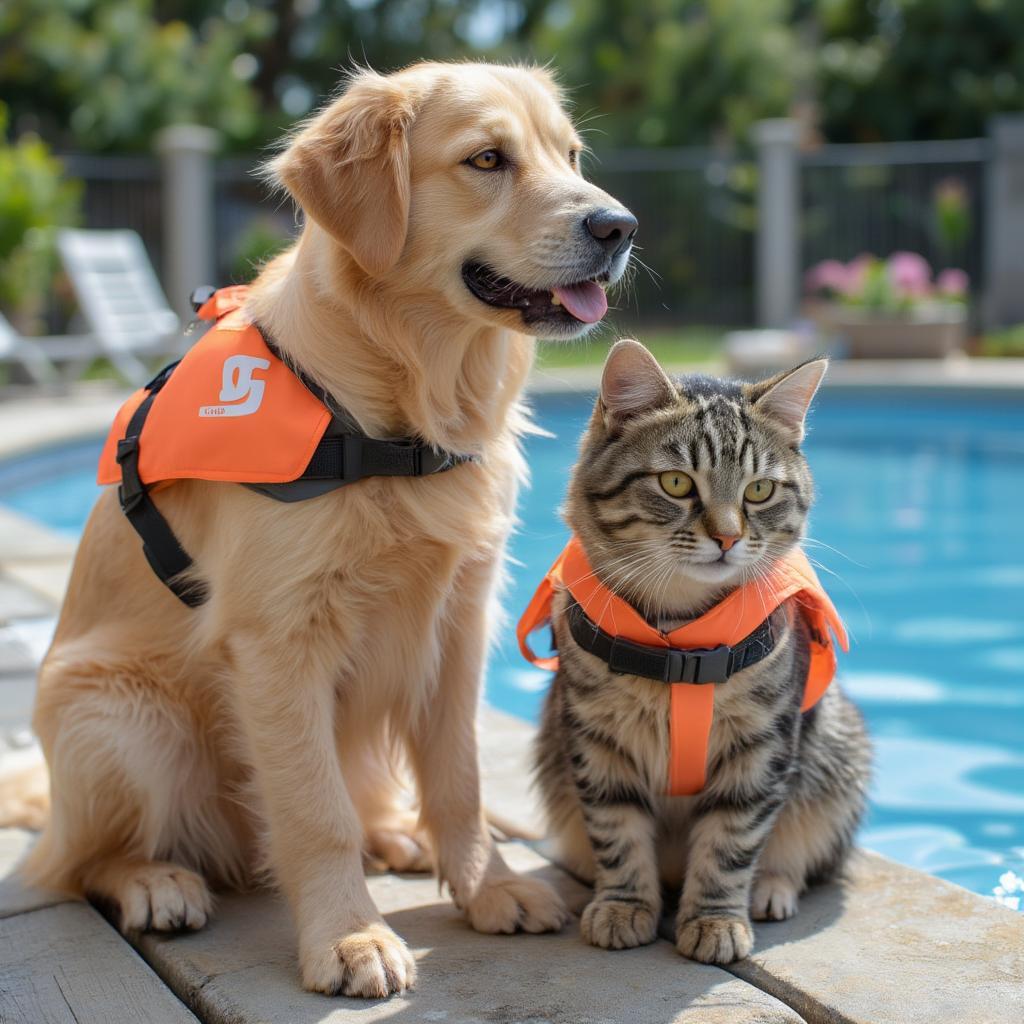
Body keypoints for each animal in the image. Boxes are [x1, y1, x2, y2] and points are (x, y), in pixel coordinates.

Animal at [19, 59, 634, 995]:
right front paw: (349, 937)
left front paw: (488, 888)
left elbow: (458, 777)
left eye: (569, 155)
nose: (618, 227)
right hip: (122, 717)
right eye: (487, 159)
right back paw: (157, 880)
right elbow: (315, 811)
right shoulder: (278, 640)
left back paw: (401, 836)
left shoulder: (459, 617)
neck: (397, 412)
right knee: (75, 864)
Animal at [536, 339, 872, 962]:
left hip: (836, 759)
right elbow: (617, 832)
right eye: (676, 483)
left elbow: (731, 842)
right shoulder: (597, 740)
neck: (678, 629)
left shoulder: (760, 747)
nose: (727, 537)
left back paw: (769, 889)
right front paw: (624, 905)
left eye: (759, 491)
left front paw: (716, 920)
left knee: (799, 856)